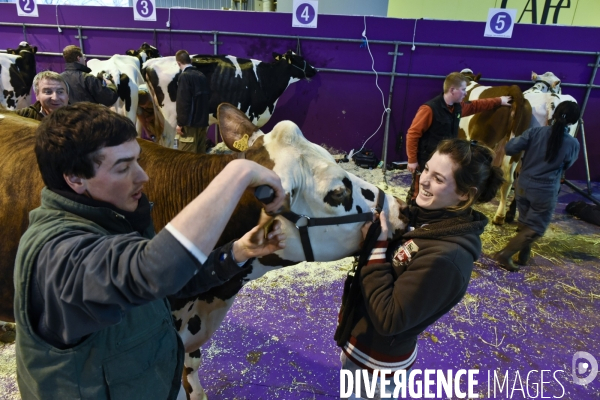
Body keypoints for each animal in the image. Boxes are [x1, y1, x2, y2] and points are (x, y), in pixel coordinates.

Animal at [144, 50, 318, 148]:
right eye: (301, 59)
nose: (314, 70)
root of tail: (151, 63)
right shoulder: (251, 115)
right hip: (170, 117)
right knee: (167, 140)